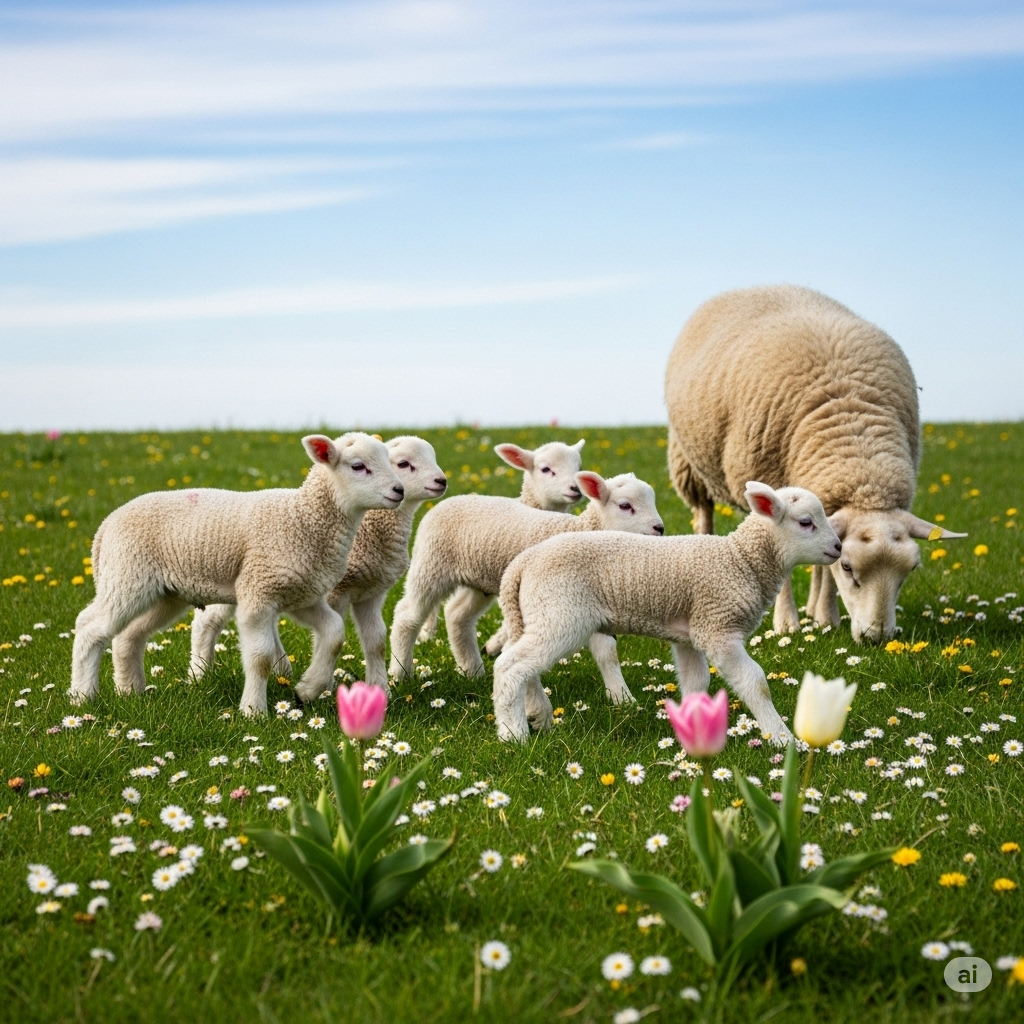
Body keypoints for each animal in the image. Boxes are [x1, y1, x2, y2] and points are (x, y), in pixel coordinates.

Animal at [69, 433, 403, 715]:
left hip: (164, 593)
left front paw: (307, 690)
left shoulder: (302, 593)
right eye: (358, 466)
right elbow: (261, 658)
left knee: (128, 636)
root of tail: (105, 527)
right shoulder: (258, 592)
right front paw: (253, 711)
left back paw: (130, 691)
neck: (302, 517)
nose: (398, 490)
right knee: (89, 627)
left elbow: (334, 634)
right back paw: (82, 696)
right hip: (127, 576)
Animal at [191, 436, 447, 694]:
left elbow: (376, 641)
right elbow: (328, 637)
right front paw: (326, 686)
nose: (442, 481)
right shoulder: (334, 592)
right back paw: (199, 674)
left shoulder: (371, 592)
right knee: (207, 620)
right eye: (403, 463)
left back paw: (281, 669)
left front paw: (380, 689)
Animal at [389, 471, 664, 706]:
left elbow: (608, 652)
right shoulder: (577, 594)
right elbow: (604, 650)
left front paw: (621, 698)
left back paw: (473, 671)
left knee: (457, 615)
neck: (583, 531)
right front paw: (622, 697)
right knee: (407, 615)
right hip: (432, 563)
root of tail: (452, 499)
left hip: (482, 580)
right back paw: (401, 673)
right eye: (625, 506)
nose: (660, 529)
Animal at [493, 481, 842, 743]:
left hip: (538, 615)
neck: (742, 560)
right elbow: (756, 682)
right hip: (560, 615)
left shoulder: (690, 634)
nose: (838, 547)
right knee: (510, 666)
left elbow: (696, 682)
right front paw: (782, 737)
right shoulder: (718, 627)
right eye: (806, 522)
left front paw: (695, 730)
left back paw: (538, 715)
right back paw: (513, 733)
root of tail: (521, 564)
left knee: (519, 661)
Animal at [664, 284, 965, 643]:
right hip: (690, 464)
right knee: (703, 515)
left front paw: (825, 616)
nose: (876, 638)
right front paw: (787, 623)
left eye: (910, 571)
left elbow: (824, 565)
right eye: (848, 568)